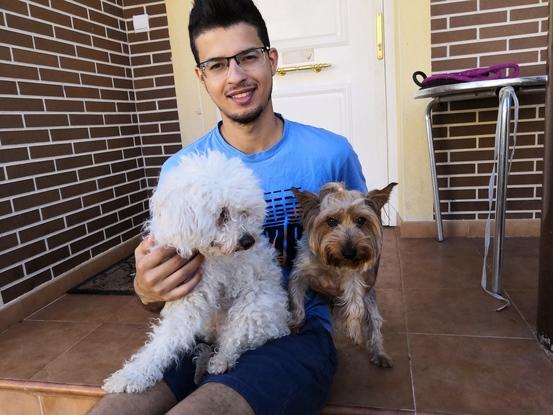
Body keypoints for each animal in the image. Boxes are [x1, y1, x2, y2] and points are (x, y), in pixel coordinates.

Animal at [104, 152, 294, 394]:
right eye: (222, 214)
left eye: (244, 212)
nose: (248, 241)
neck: (208, 253)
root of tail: (283, 324)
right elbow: (164, 341)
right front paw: (132, 375)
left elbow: (166, 341)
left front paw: (130, 376)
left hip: (257, 307)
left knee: (236, 337)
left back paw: (221, 360)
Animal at [288, 182, 396, 368]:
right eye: (331, 221)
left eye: (361, 220)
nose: (350, 253)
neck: (333, 263)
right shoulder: (300, 272)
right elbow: (296, 298)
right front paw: (296, 322)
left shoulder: (356, 275)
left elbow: (355, 299)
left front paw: (353, 328)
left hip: (371, 303)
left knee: (374, 323)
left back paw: (379, 353)